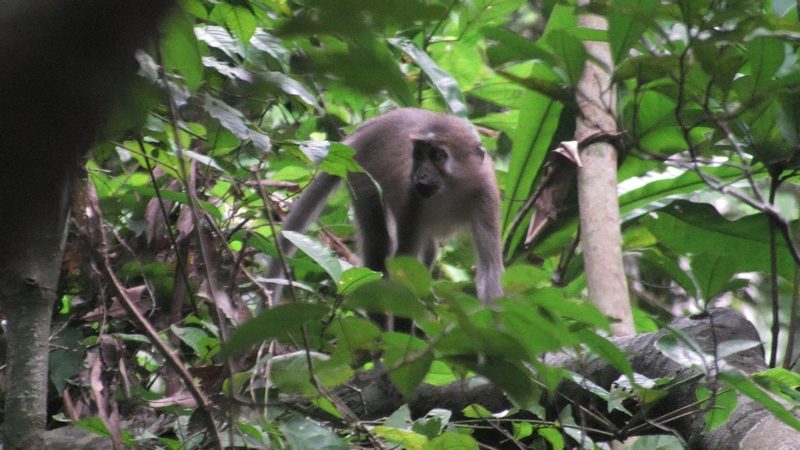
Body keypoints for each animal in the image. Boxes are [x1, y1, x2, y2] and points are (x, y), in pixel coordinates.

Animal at [266, 108, 504, 306]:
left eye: (437, 155)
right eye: (419, 155)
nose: (421, 175)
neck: (450, 190)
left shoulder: (485, 195)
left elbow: (489, 270)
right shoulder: (413, 200)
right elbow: (403, 266)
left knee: (428, 249)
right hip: (361, 174)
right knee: (378, 242)